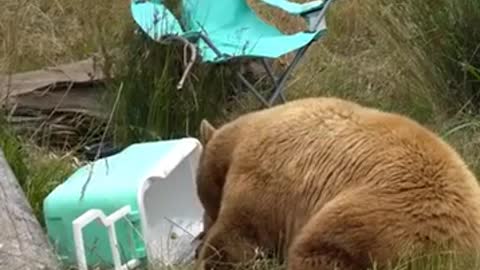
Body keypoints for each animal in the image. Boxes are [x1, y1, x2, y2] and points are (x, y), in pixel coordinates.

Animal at [193, 97, 480, 270]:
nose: (201, 230)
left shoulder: (261, 180)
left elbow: (237, 236)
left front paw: (206, 255)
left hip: (374, 217)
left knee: (316, 250)